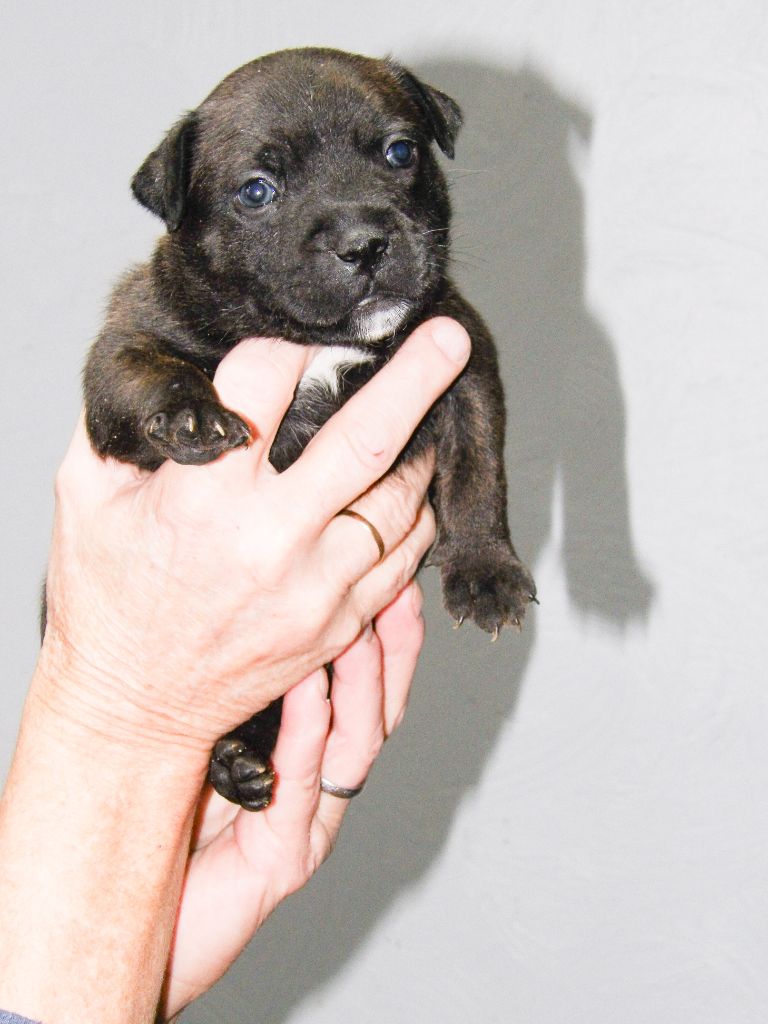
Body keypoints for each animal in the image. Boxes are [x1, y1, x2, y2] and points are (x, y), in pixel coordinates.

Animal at [82, 48, 536, 809]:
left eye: (400, 151)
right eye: (257, 191)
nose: (364, 243)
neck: (322, 343)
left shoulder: (463, 356)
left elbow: (478, 469)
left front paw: (485, 571)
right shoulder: (127, 338)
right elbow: (140, 372)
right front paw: (192, 415)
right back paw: (232, 762)